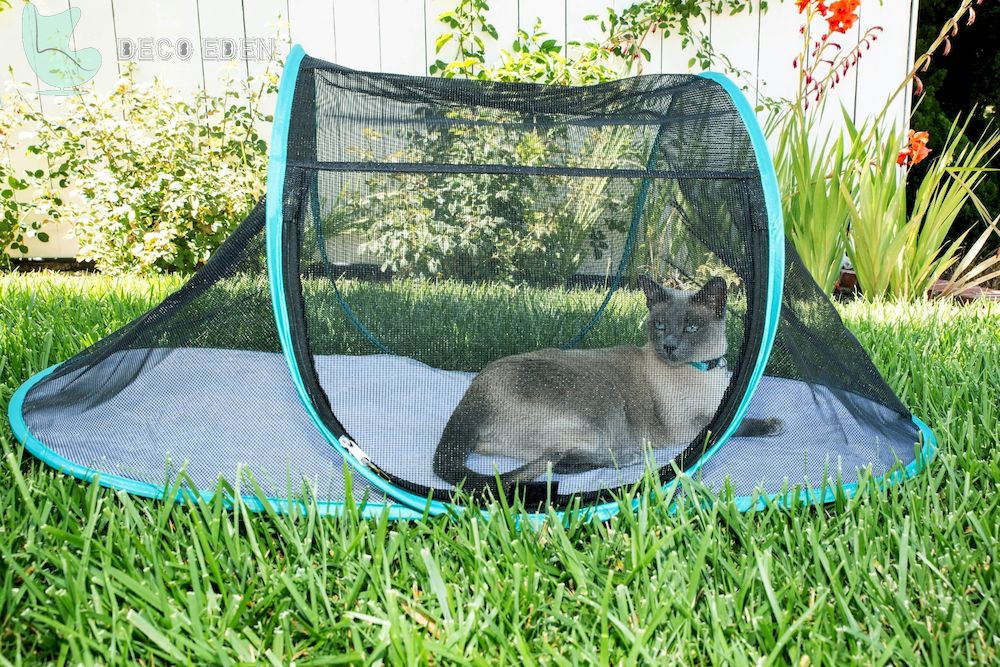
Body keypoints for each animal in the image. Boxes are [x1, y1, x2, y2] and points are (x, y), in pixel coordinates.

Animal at [434, 276, 784, 496]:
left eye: (691, 328)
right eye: (660, 325)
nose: (669, 346)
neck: (703, 371)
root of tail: (473, 395)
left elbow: (736, 417)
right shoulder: (692, 426)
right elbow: (736, 424)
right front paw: (773, 425)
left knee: (554, 463)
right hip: (599, 411)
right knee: (560, 463)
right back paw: (631, 458)